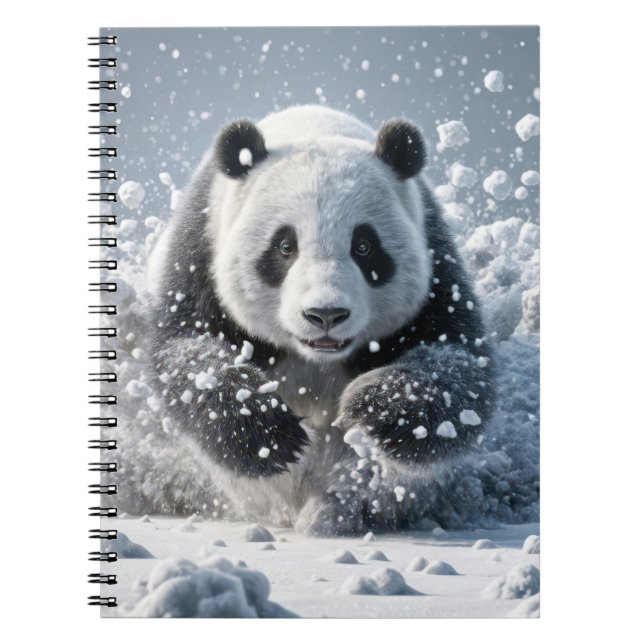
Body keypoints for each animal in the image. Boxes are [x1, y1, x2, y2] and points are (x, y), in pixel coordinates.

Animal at [146, 105, 494, 535]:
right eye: (284, 246)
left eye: (364, 246)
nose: (325, 314)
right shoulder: (200, 254)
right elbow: (188, 355)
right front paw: (270, 434)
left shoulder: (434, 259)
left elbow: (459, 370)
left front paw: (371, 411)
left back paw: (331, 512)